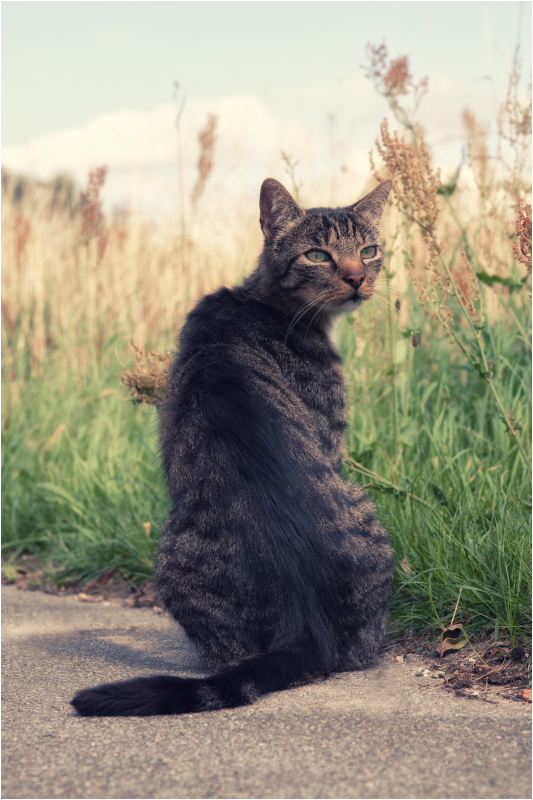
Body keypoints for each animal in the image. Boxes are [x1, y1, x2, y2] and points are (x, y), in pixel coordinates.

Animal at [71, 178, 394, 716]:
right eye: (317, 255)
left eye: (369, 251)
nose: (357, 279)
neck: (264, 303)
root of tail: (307, 624)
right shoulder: (332, 439)